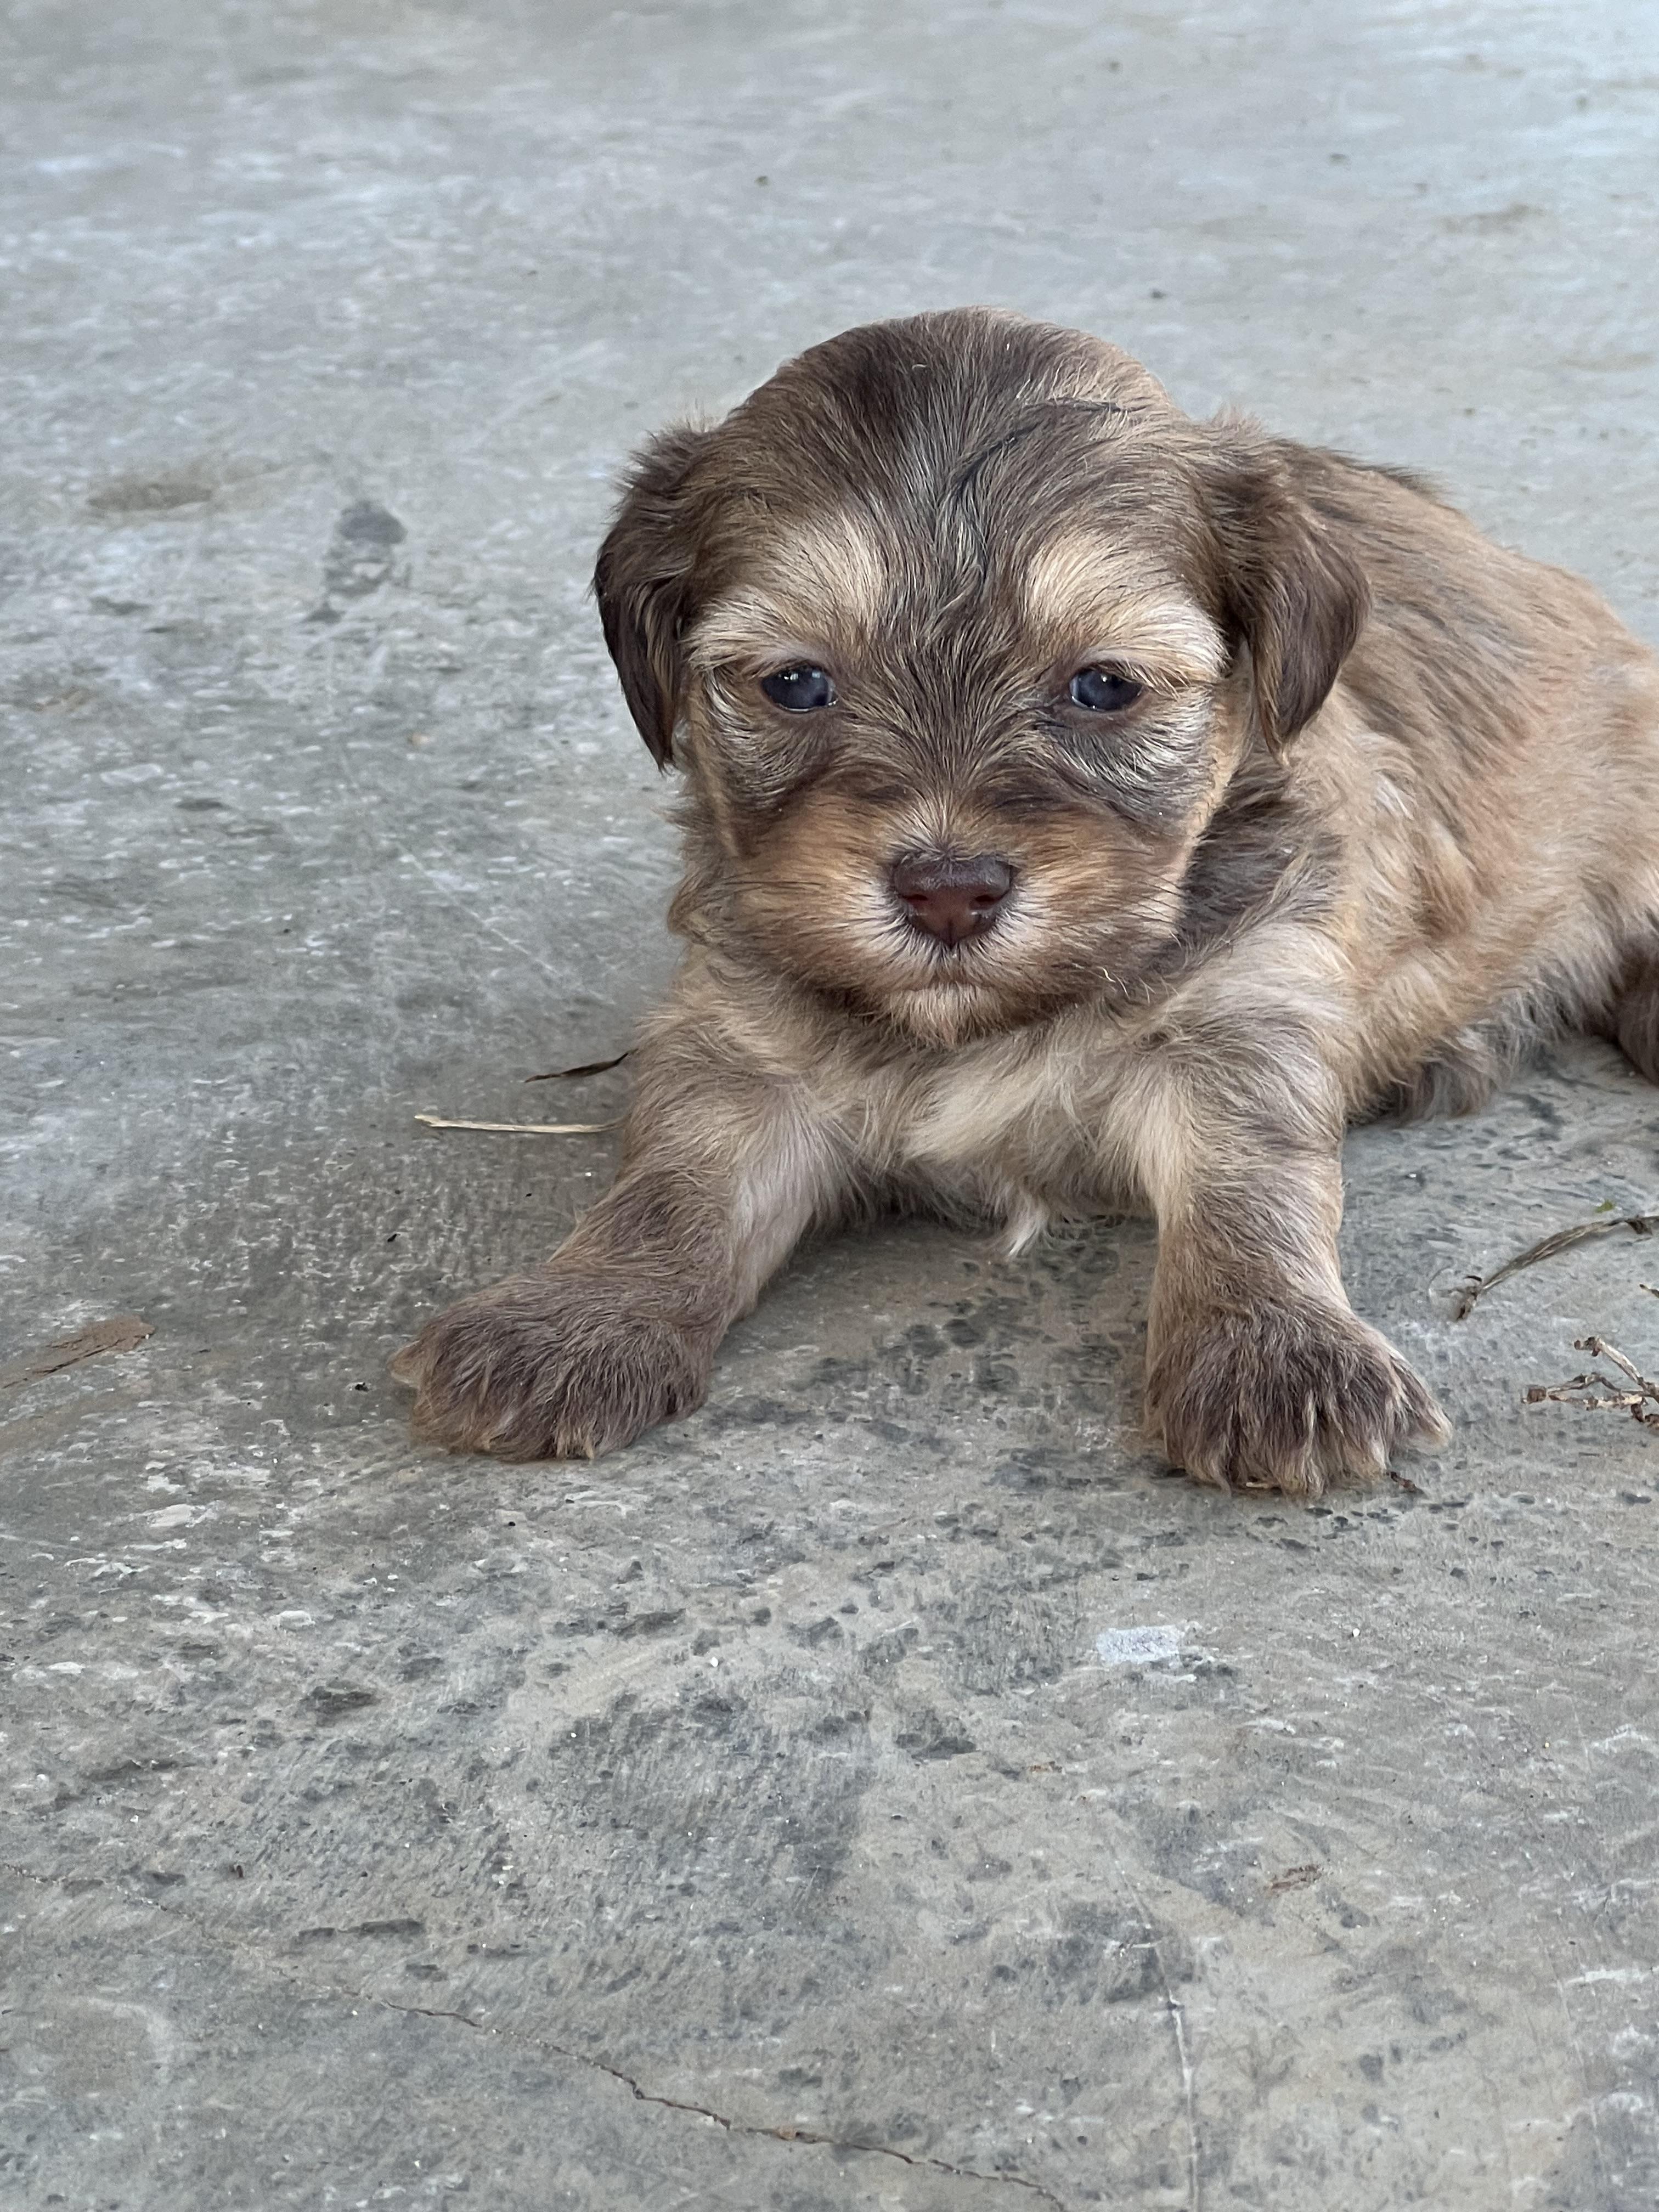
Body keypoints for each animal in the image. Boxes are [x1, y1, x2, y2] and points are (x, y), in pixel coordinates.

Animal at [392, 308, 1659, 1497]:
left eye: (1103, 687)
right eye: (795, 683)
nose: (948, 891)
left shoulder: (1243, 1004)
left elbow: (1251, 1180)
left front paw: (1274, 1353)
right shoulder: (742, 1045)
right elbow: (676, 1181)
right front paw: (575, 1321)